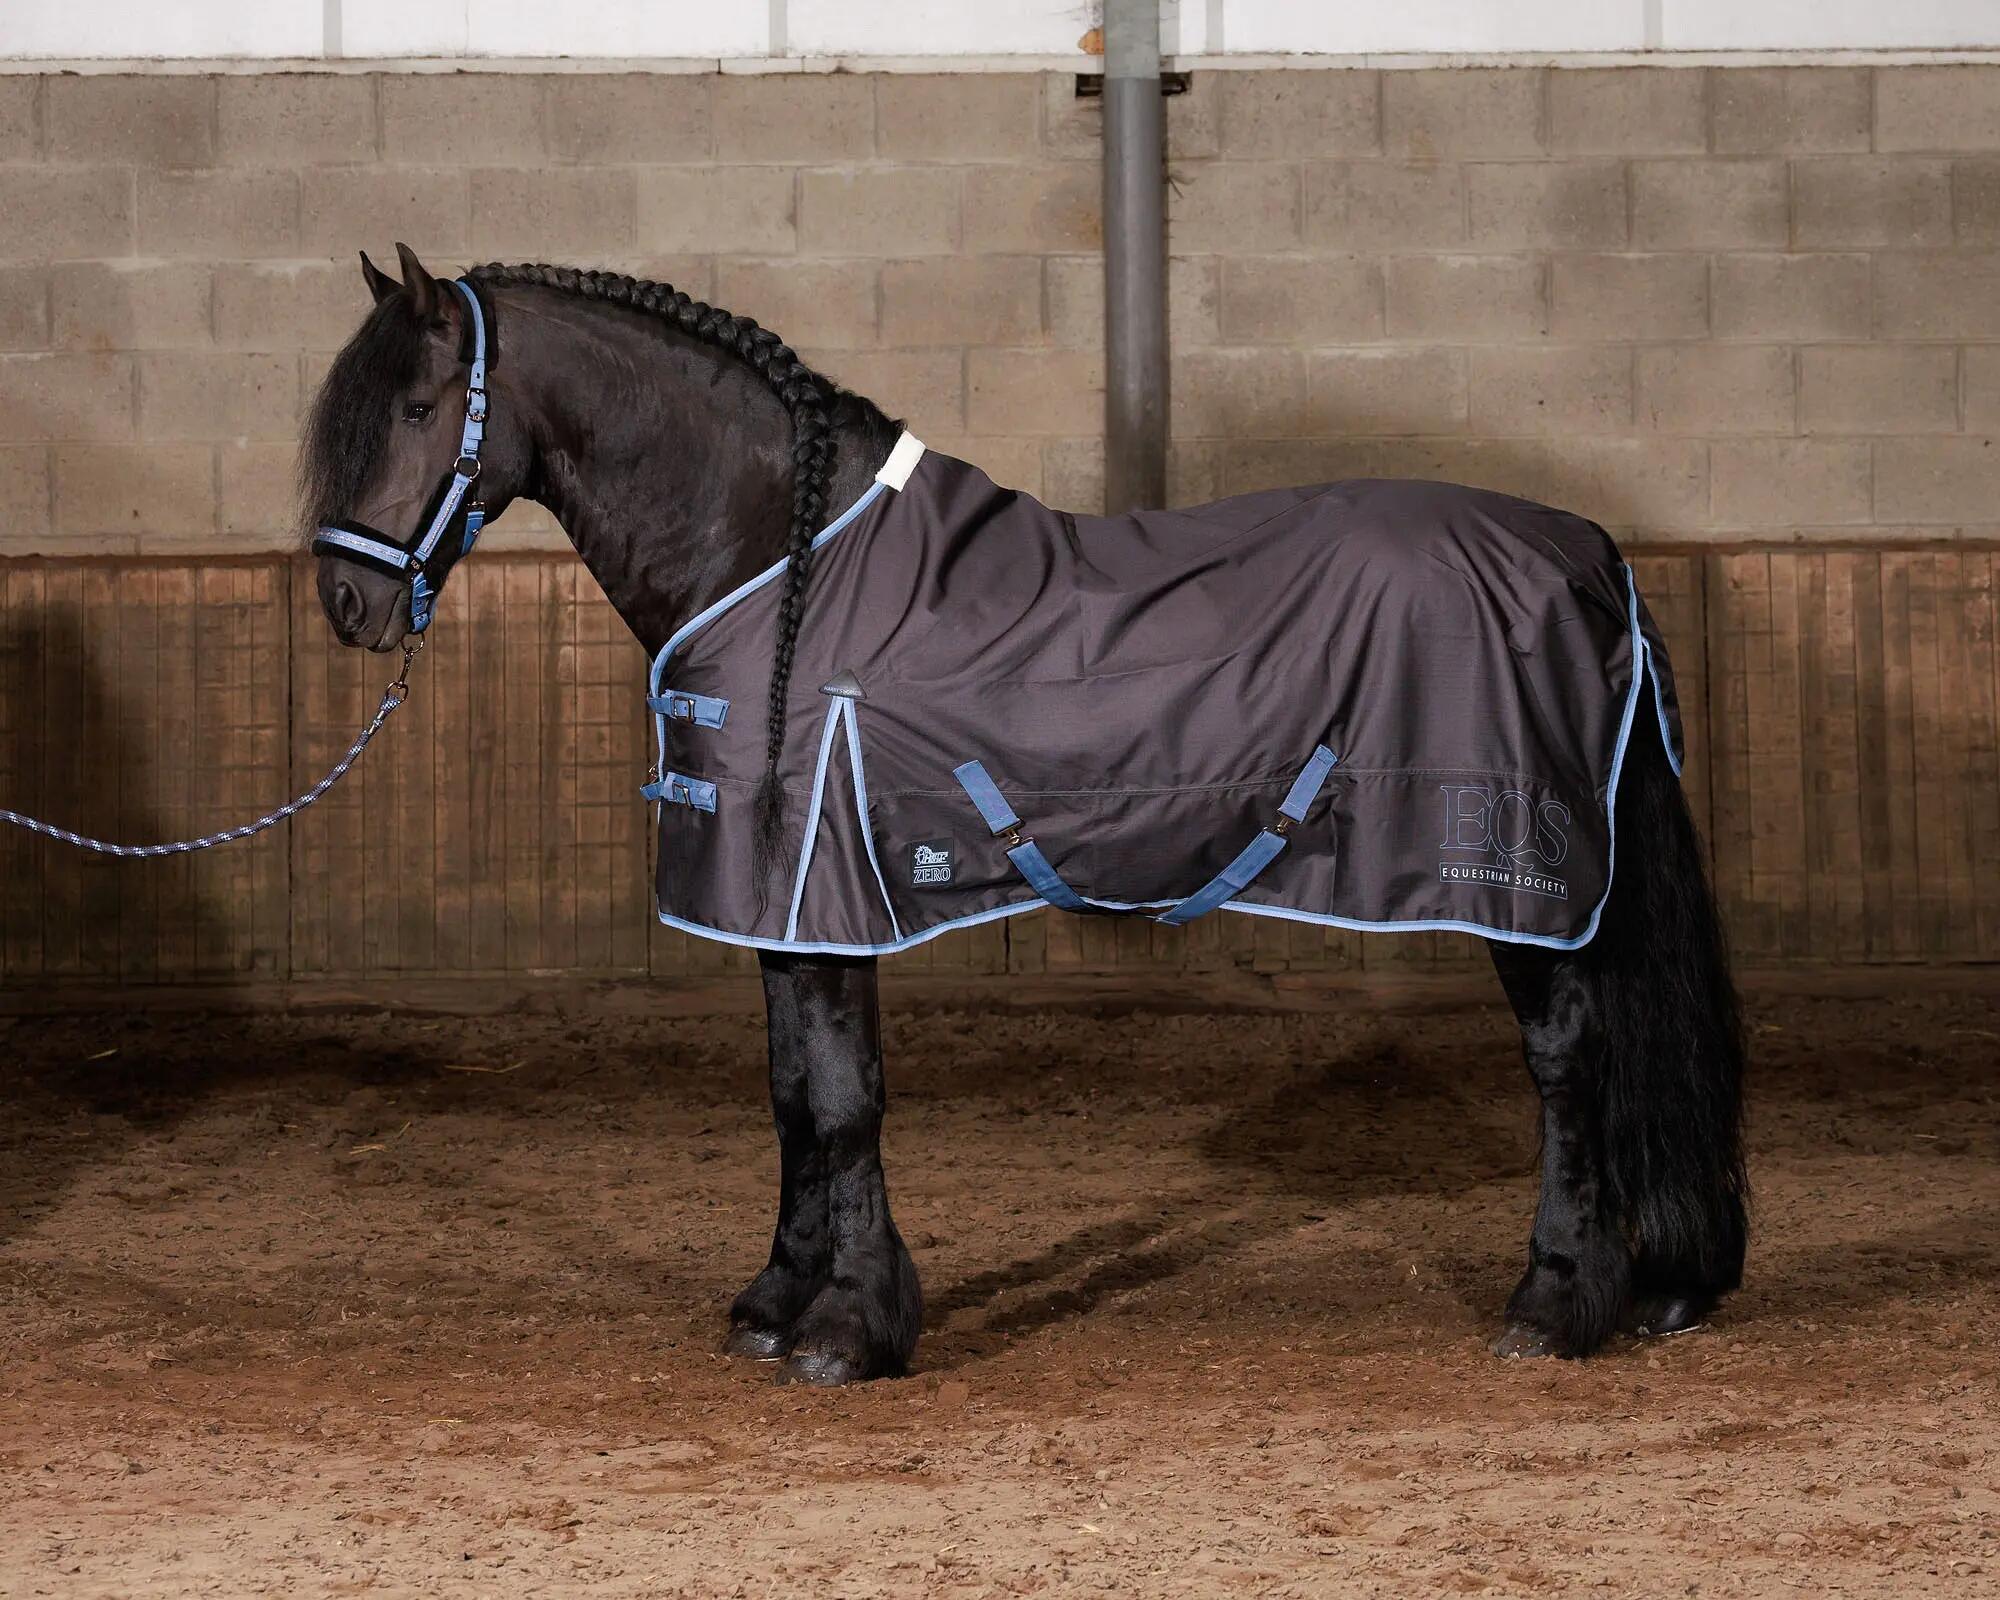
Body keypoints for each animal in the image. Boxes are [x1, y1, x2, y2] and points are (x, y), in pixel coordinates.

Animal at [302, 244, 1747, 1386]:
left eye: (421, 404)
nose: (346, 608)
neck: (782, 560)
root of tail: (1591, 559)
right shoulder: (778, 900)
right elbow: (788, 1094)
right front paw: (774, 1302)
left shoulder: (832, 890)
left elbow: (843, 1100)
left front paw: (849, 1331)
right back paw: (1651, 1283)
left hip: (1519, 885)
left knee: (1568, 1060)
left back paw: (1553, 1303)